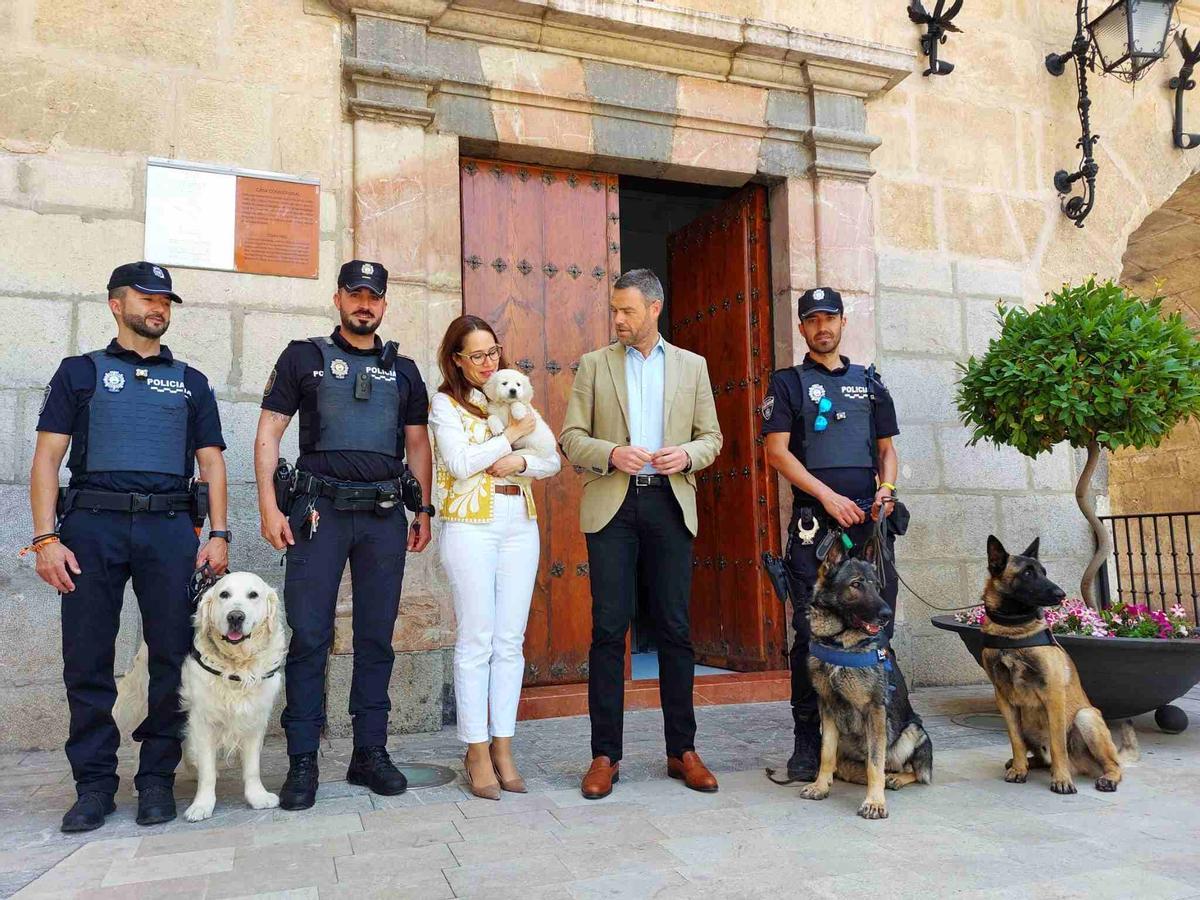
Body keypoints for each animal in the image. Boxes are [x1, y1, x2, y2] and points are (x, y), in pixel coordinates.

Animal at [114, 578, 288, 825]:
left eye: (253, 595)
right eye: (224, 594)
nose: (235, 617)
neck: (236, 666)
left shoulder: (254, 716)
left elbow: (252, 767)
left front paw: (257, 797)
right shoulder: (203, 718)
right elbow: (207, 770)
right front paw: (202, 805)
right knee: (142, 740)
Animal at [801, 540, 931, 820]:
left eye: (877, 586)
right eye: (856, 584)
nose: (887, 614)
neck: (839, 642)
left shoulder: (875, 711)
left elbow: (875, 763)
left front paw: (875, 802)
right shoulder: (826, 708)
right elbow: (826, 753)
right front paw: (820, 785)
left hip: (913, 731)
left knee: (912, 770)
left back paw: (895, 779)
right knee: (849, 767)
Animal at [979, 540, 1137, 792]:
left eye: (1044, 572)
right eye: (1027, 573)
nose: (1061, 594)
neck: (1013, 631)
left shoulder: (1053, 695)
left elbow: (1057, 744)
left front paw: (1061, 780)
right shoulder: (1004, 700)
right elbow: (1015, 740)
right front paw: (1019, 769)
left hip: (1086, 717)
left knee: (1112, 764)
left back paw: (1106, 778)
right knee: (1041, 757)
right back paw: (1024, 763)